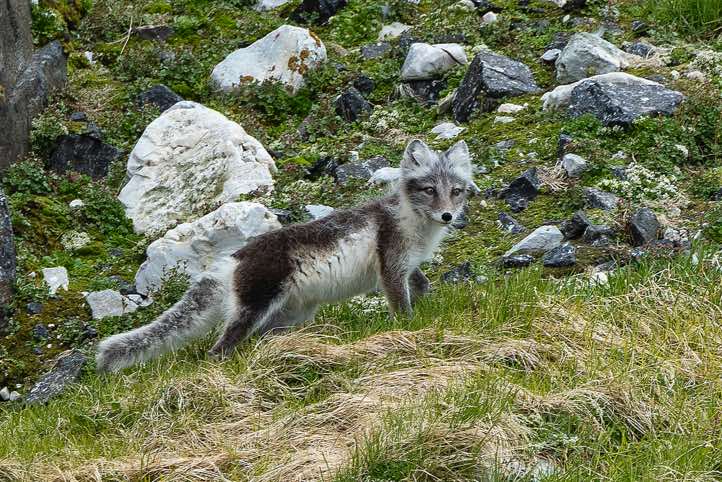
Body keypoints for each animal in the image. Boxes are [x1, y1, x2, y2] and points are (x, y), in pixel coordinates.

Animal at [96, 139, 474, 372]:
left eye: (455, 191)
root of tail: (233, 259)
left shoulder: (407, 265)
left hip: (290, 315)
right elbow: (401, 305)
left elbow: (422, 285)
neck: (411, 222)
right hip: (254, 307)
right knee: (218, 349)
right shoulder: (391, 265)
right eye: (429, 190)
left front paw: (432, 305)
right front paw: (409, 329)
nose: (448, 216)